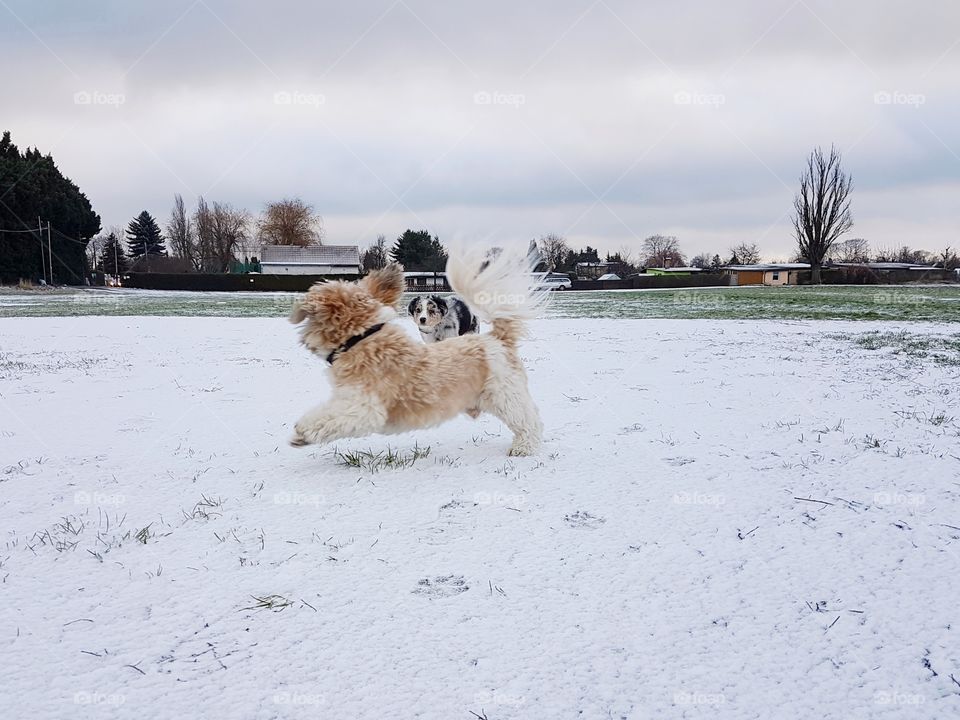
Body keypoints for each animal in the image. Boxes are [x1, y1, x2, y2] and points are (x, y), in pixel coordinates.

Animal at [286, 248, 548, 456]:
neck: (362, 338)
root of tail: (497, 338)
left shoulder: (365, 407)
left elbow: (330, 418)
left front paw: (303, 432)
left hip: (506, 395)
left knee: (529, 420)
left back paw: (524, 447)